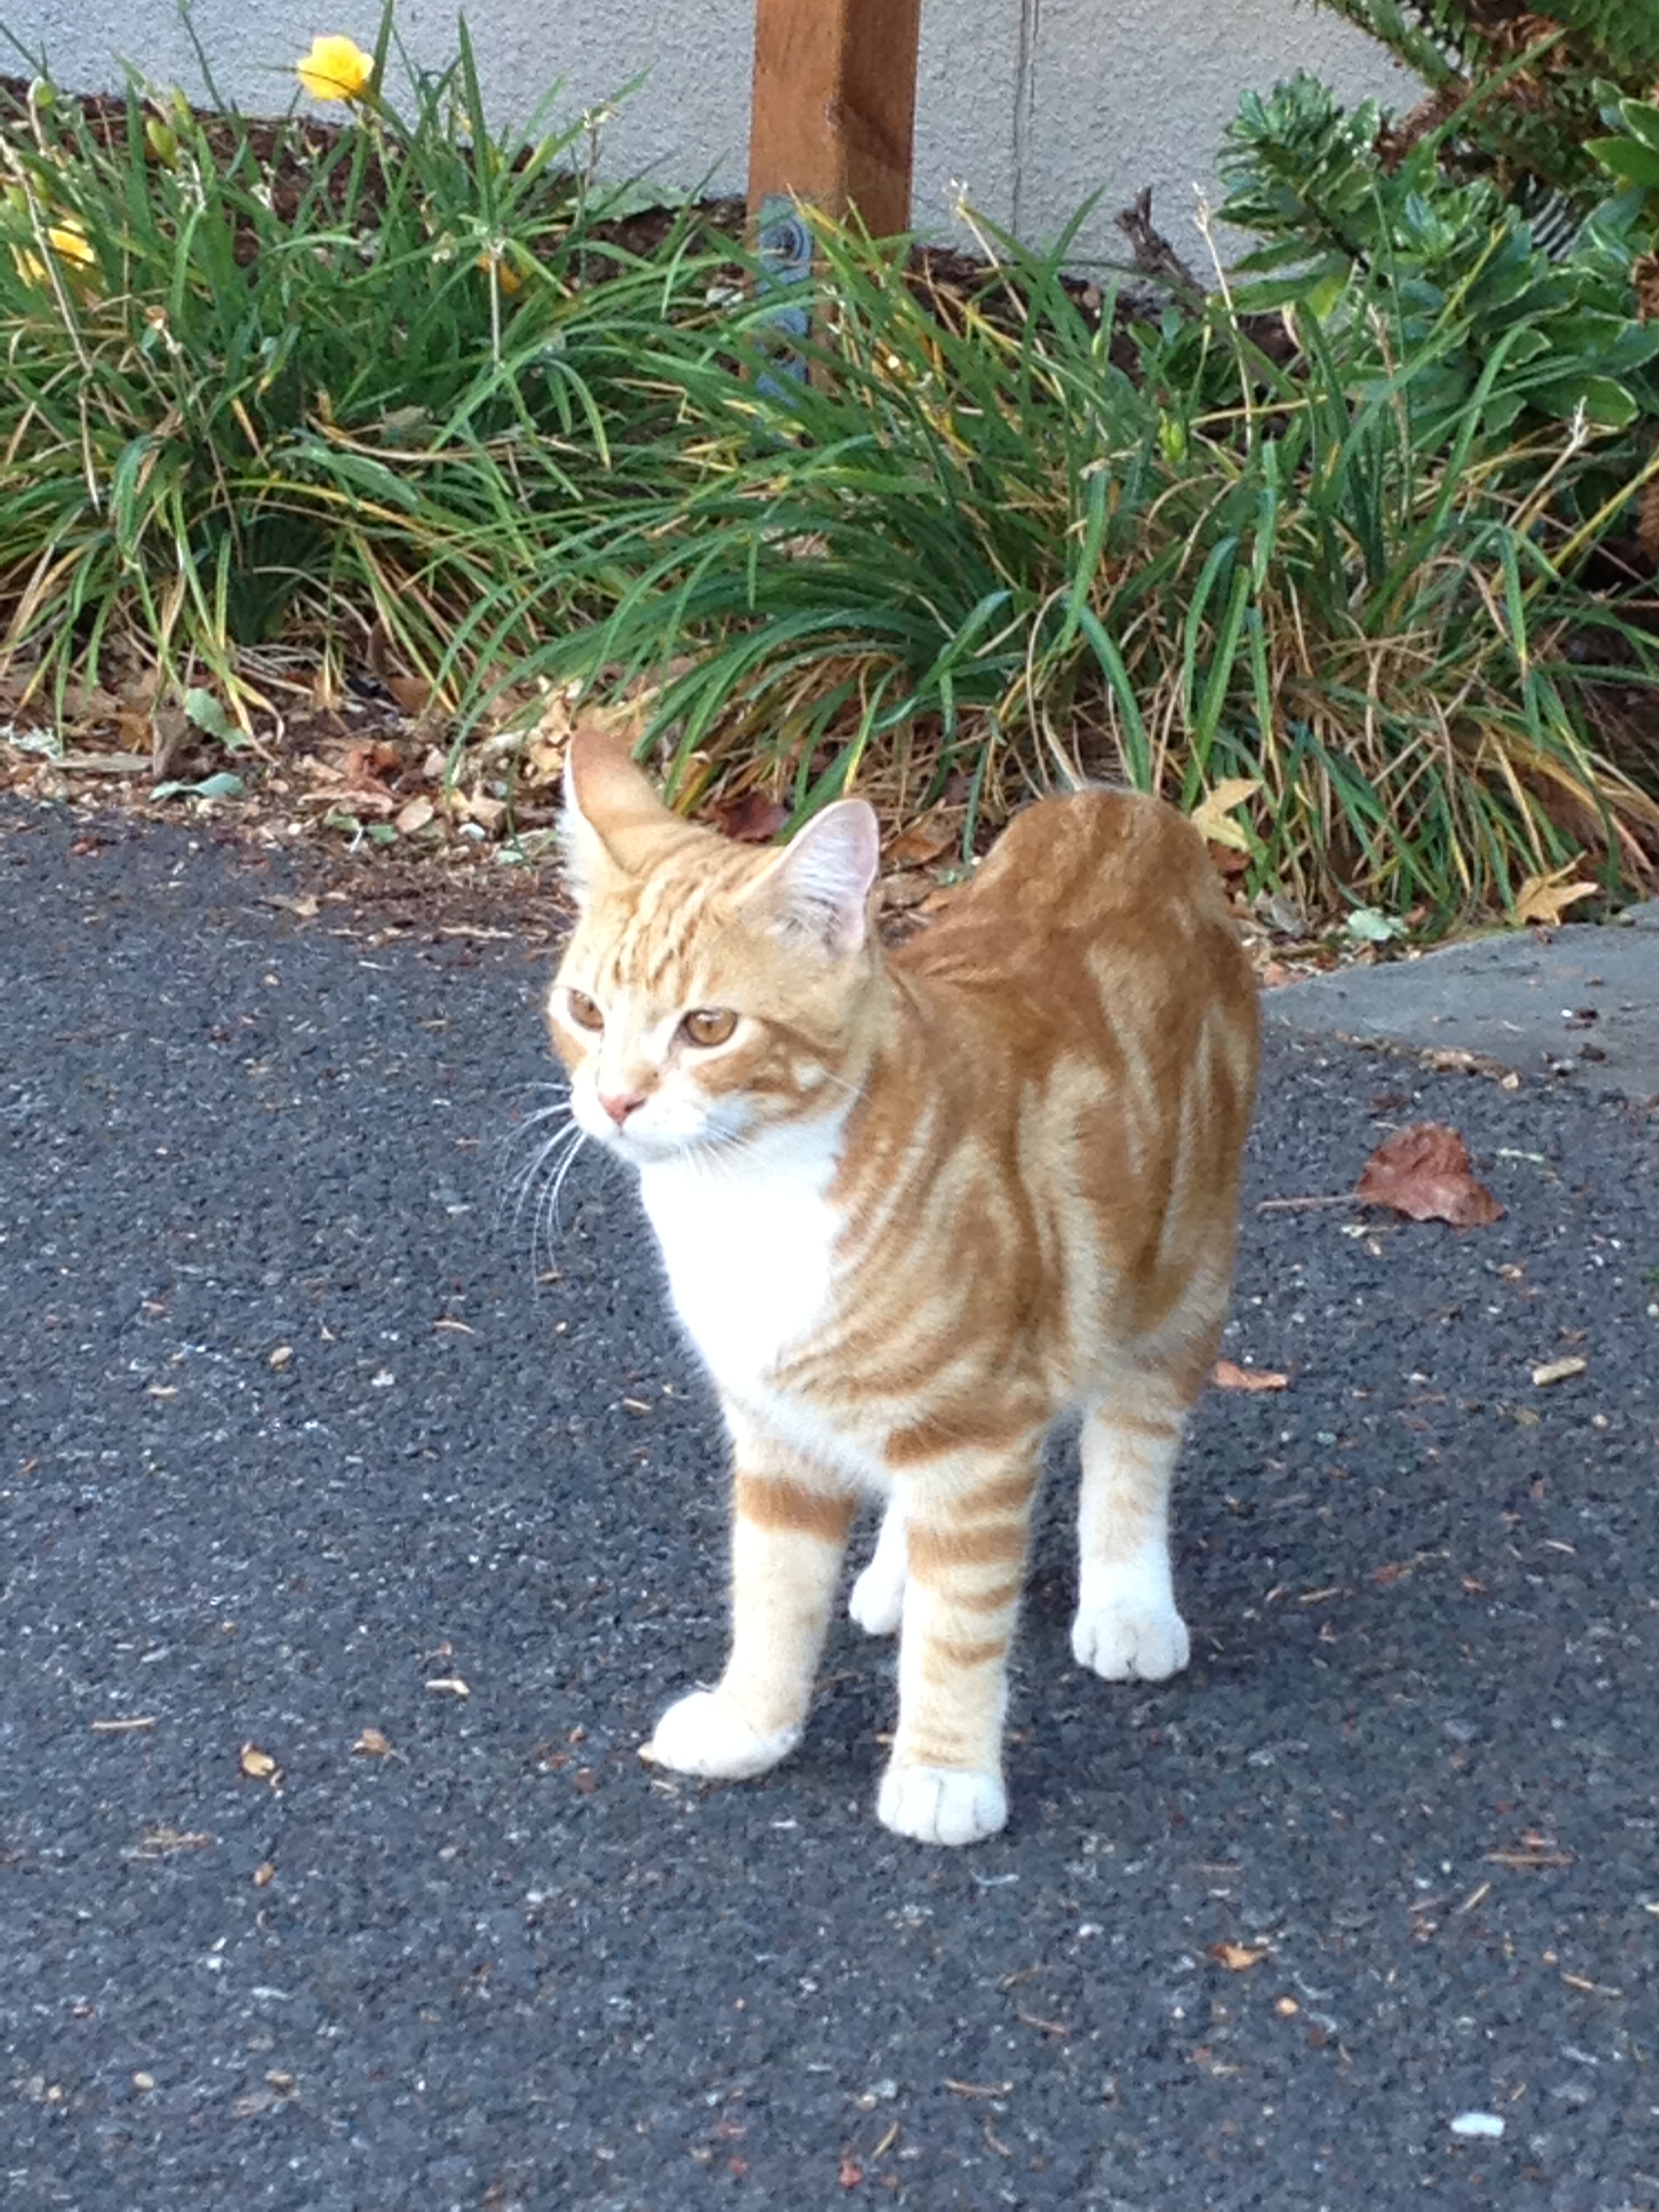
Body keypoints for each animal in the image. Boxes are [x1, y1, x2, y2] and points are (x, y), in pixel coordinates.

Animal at [546, 734, 1256, 1840]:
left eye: (708, 1028)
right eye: (586, 1012)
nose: (615, 1100)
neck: (745, 1200)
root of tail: (1118, 809)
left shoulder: (980, 1426)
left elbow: (963, 1630)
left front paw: (945, 1771)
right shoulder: (777, 1433)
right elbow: (770, 1595)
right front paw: (751, 1727)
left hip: (1178, 1279)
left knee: (1131, 1445)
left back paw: (1128, 1604)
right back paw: (894, 1575)